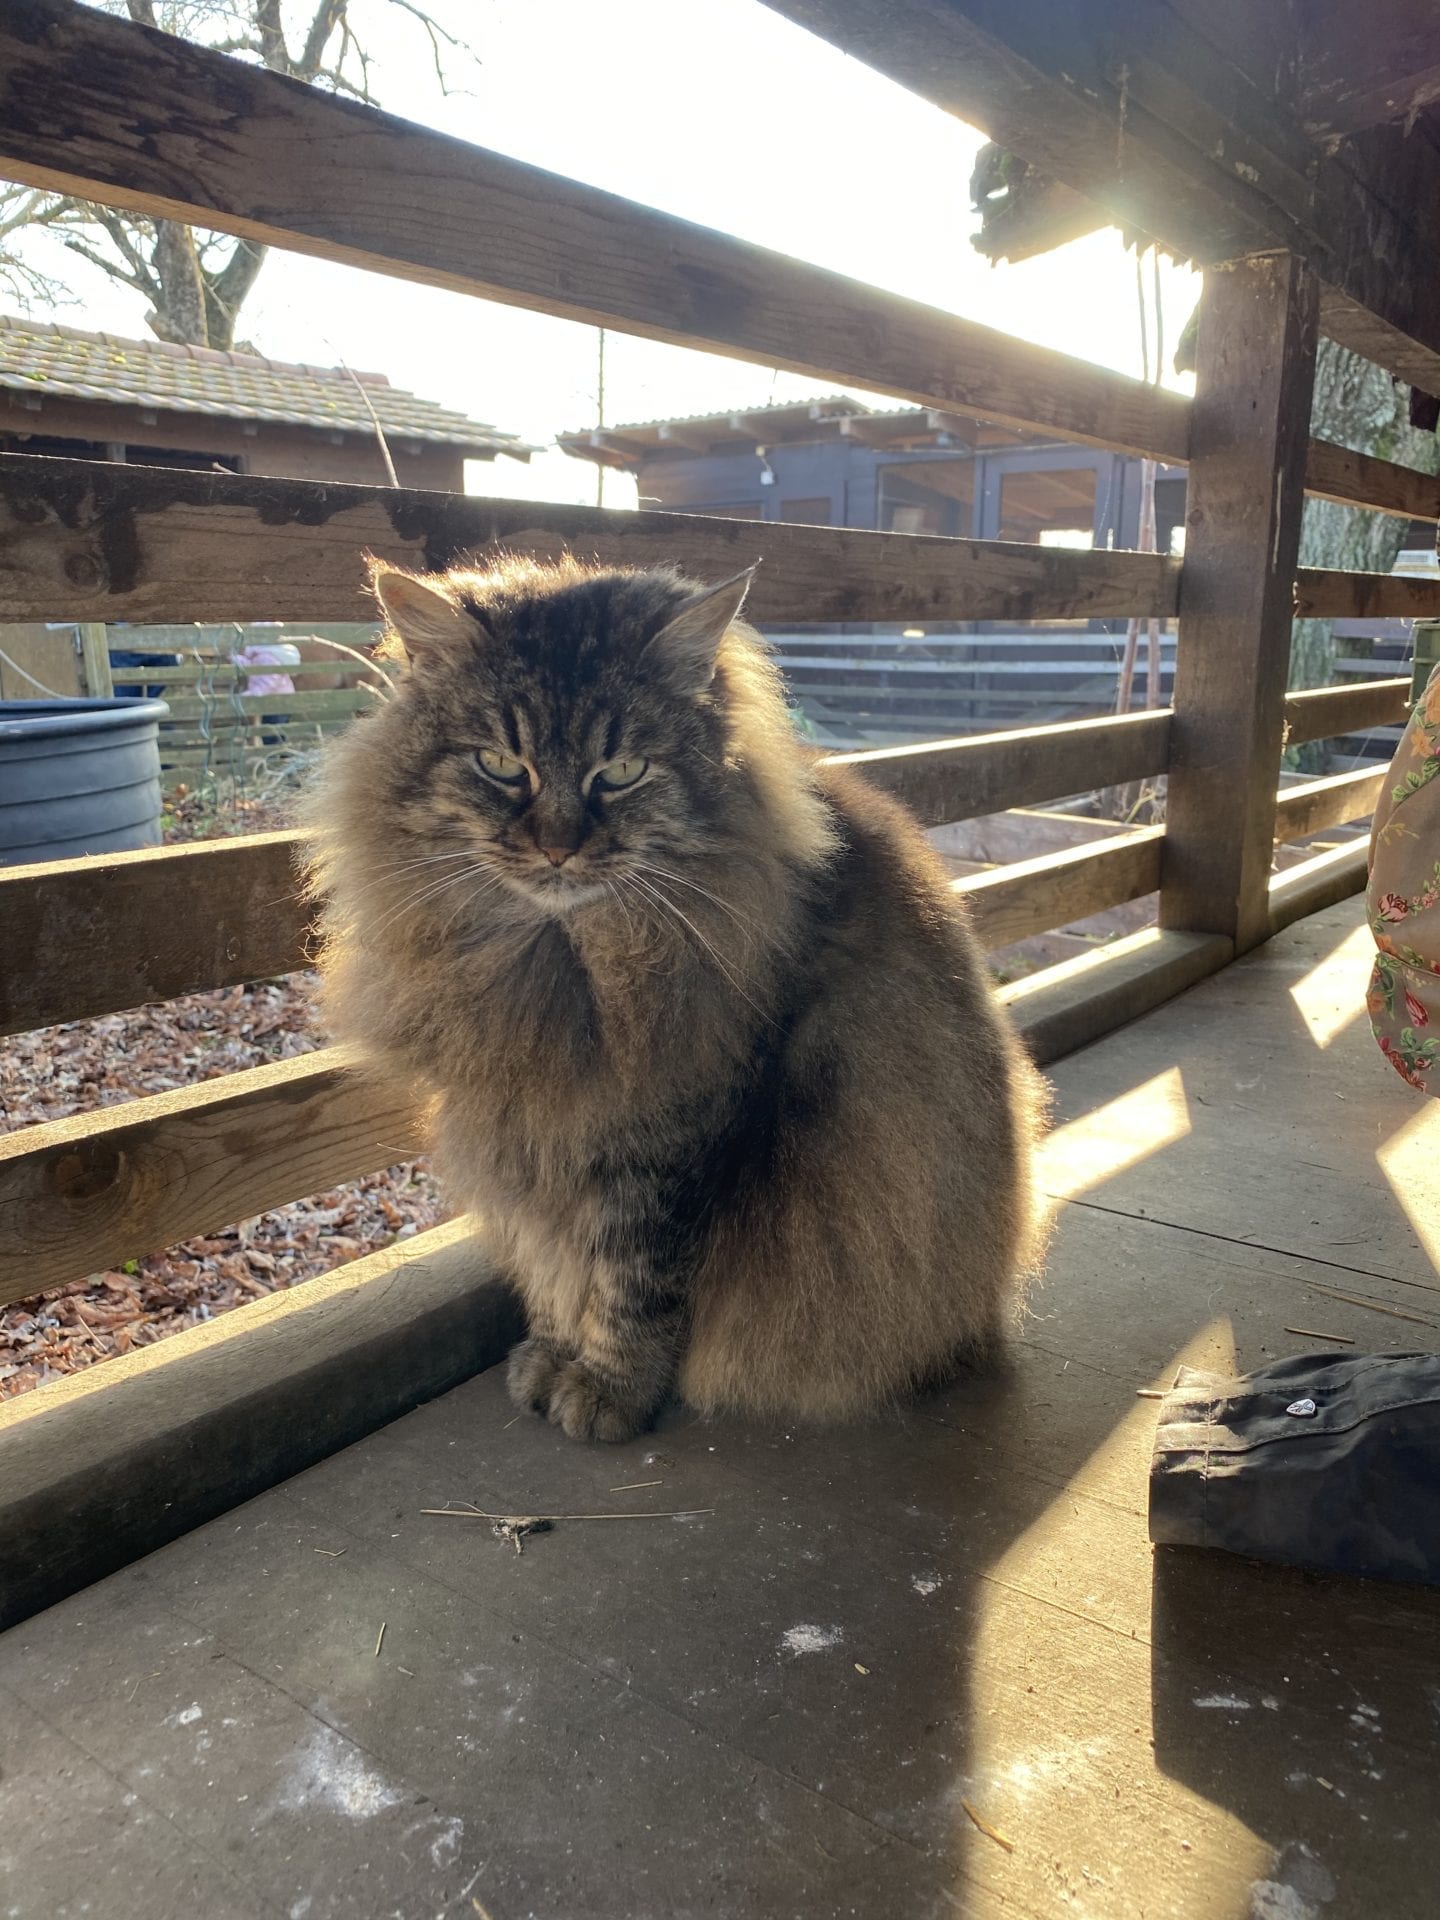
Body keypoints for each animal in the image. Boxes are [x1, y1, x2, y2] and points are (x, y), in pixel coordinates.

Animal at [303, 553, 1046, 1442]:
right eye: (502, 766)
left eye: (621, 773)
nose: (558, 850)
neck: (572, 961)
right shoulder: (533, 1134)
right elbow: (552, 1266)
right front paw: (553, 1354)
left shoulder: (669, 1140)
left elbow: (633, 1285)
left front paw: (608, 1392)